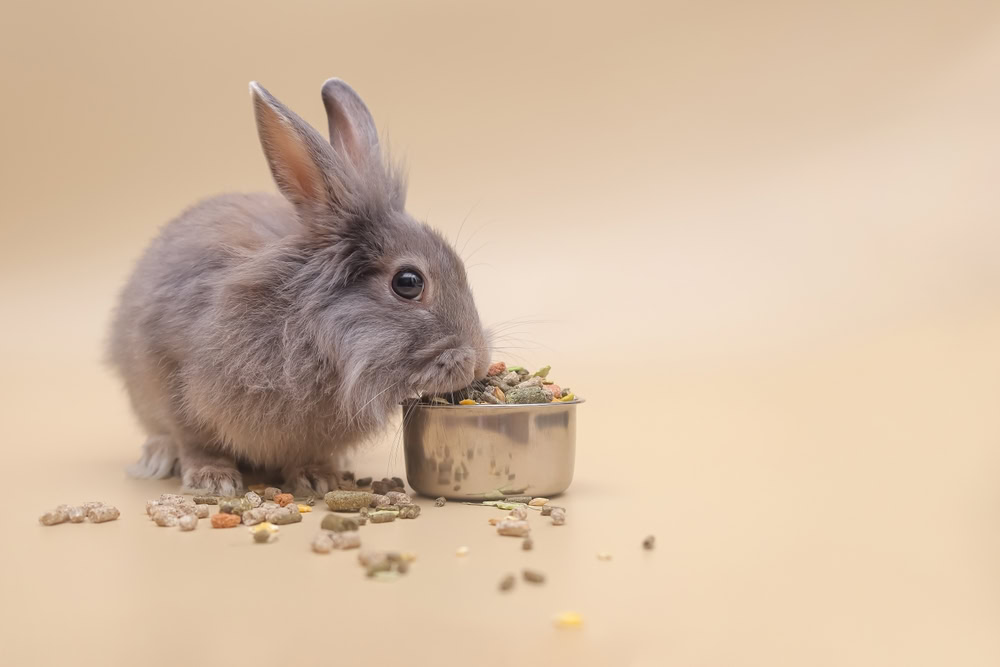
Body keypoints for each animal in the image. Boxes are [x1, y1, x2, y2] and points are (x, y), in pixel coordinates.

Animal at [108, 78, 491, 496]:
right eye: (408, 283)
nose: (478, 363)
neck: (315, 335)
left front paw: (317, 477)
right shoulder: (174, 376)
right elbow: (195, 440)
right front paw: (212, 481)